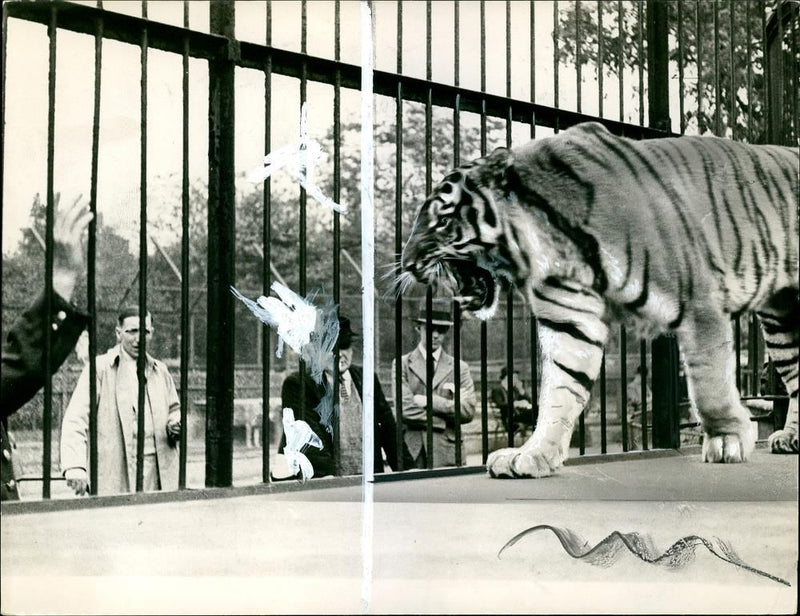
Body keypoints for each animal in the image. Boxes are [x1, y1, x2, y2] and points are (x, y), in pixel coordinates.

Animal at [400, 119, 800, 476]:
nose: (407, 264)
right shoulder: (570, 321)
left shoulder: (698, 303)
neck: (542, 243)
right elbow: (558, 392)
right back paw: (791, 438)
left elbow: (709, 383)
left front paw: (726, 439)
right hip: (782, 322)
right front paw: (534, 455)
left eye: (441, 221)